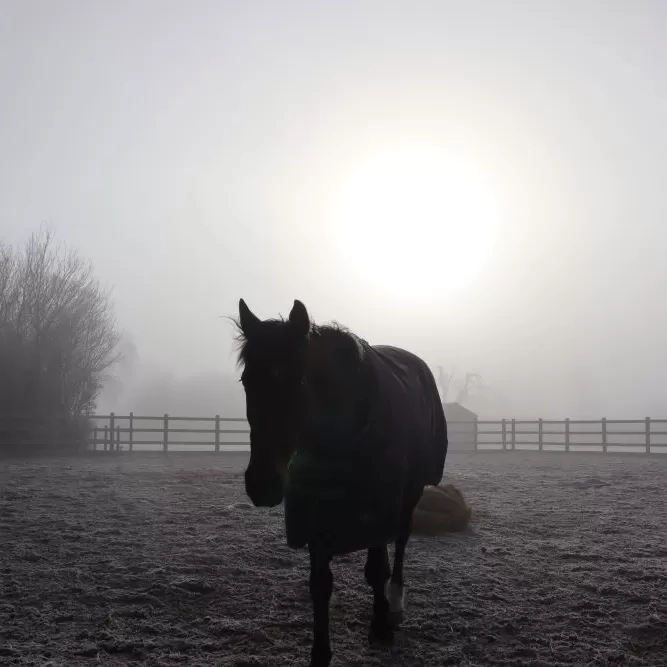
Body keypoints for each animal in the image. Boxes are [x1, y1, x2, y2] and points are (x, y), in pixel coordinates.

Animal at [235, 300, 448, 664]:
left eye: (298, 381)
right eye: (247, 381)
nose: (262, 484)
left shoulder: (377, 509)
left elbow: (377, 569)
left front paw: (380, 624)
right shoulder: (315, 513)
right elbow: (320, 583)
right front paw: (320, 653)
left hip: (411, 493)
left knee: (401, 541)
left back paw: (395, 600)